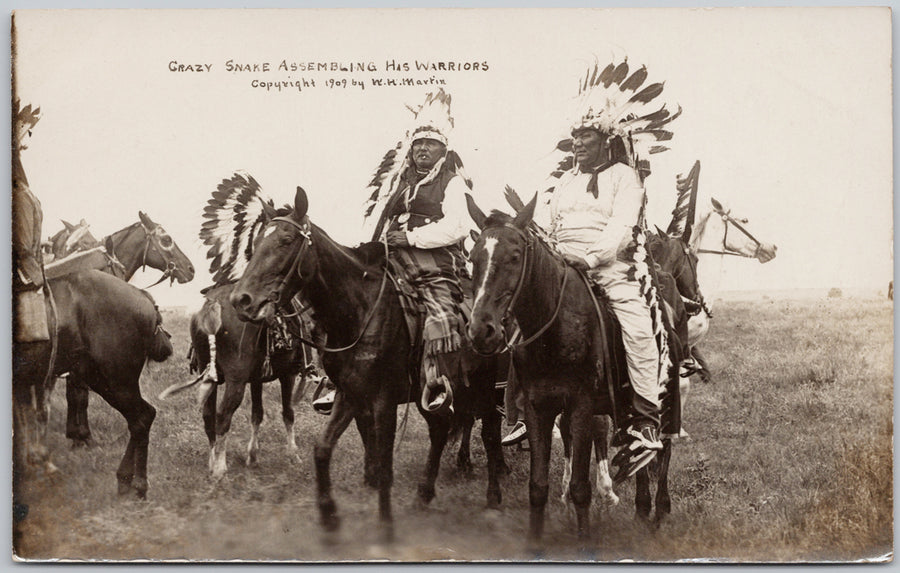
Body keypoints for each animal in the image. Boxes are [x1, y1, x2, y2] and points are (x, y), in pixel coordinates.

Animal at [229, 187, 506, 540]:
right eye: (256, 244)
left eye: (286, 240)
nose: (241, 300)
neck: (358, 310)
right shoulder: (350, 394)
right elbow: (324, 449)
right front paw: (329, 517)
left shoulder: (382, 400)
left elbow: (384, 464)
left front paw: (385, 528)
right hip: (432, 393)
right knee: (441, 429)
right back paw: (424, 494)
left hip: (487, 387)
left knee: (490, 433)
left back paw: (493, 499)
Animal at [464, 196, 684, 544]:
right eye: (473, 258)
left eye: (514, 256)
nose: (481, 331)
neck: (555, 329)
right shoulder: (537, 408)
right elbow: (538, 486)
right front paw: (535, 542)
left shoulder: (581, 406)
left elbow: (582, 486)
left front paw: (583, 539)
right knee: (638, 455)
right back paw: (641, 508)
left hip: (665, 403)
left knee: (663, 451)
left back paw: (660, 509)